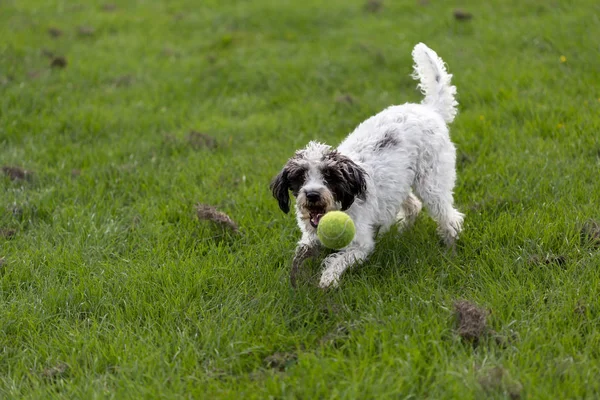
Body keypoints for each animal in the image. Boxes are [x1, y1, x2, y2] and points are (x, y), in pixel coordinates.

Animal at [270, 43, 464, 288]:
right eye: (300, 177)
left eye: (329, 176)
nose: (312, 195)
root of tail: (429, 110)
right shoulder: (311, 238)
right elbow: (302, 253)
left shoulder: (361, 245)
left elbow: (338, 260)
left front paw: (328, 280)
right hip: (399, 184)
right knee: (413, 206)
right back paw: (400, 232)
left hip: (432, 183)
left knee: (450, 218)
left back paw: (451, 249)